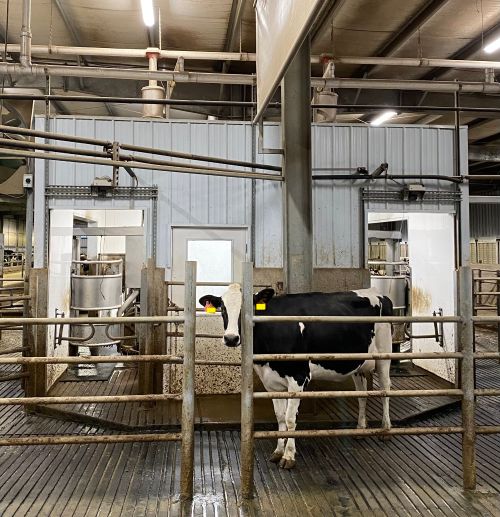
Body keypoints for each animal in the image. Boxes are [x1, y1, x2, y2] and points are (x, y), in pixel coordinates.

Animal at [201, 284, 392, 470]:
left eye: (250, 307)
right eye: (222, 308)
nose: (231, 338)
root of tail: (376, 292)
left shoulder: (299, 378)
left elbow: (290, 419)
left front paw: (288, 456)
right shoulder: (271, 382)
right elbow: (280, 417)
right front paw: (278, 451)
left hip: (384, 356)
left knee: (385, 391)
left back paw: (386, 430)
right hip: (359, 364)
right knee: (362, 395)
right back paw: (361, 429)